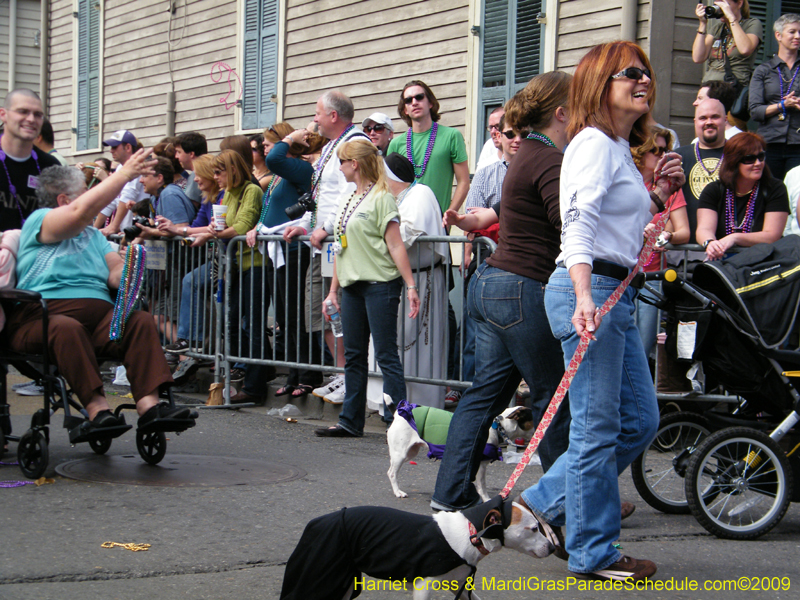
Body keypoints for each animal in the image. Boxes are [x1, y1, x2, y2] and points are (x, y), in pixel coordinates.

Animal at [280, 494, 556, 596]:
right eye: (534, 529)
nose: (553, 549)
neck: (472, 533)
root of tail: (318, 522)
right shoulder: (425, 586)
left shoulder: (460, 586)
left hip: (345, 584)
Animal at [388, 398, 536, 502]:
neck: (498, 426)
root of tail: (398, 413)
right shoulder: (481, 464)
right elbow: (482, 485)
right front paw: (486, 499)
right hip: (400, 454)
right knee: (391, 473)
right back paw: (398, 492)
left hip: (410, 453)